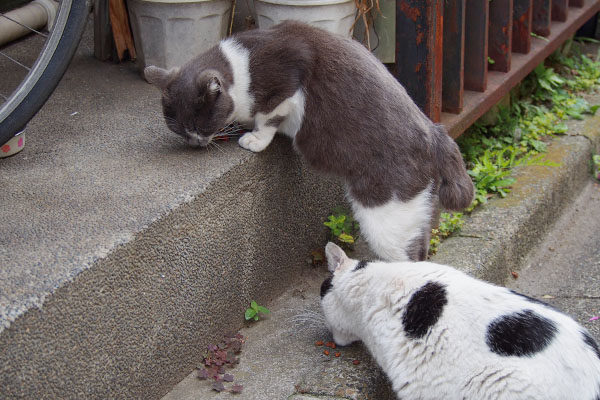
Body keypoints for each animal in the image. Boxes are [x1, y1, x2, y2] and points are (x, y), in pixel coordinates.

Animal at [145, 21, 474, 260]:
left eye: (199, 124)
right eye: (178, 129)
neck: (241, 67)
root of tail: (436, 133)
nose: (194, 142)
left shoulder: (286, 81)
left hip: (386, 215)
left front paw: (255, 138)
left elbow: (269, 115)